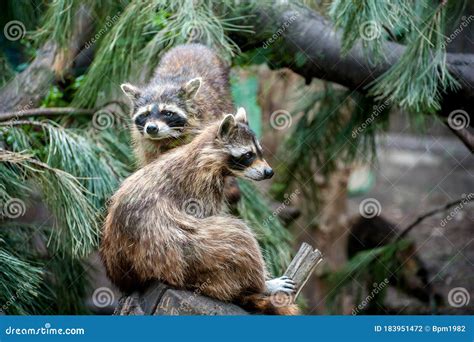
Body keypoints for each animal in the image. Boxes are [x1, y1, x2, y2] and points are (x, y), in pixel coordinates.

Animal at [101, 109, 298, 316]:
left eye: (260, 152)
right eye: (248, 155)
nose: (269, 172)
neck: (206, 154)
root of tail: (130, 279)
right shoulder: (199, 188)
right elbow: (206, 217)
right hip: (177, 255)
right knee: (238, 236)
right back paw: (262, 284)